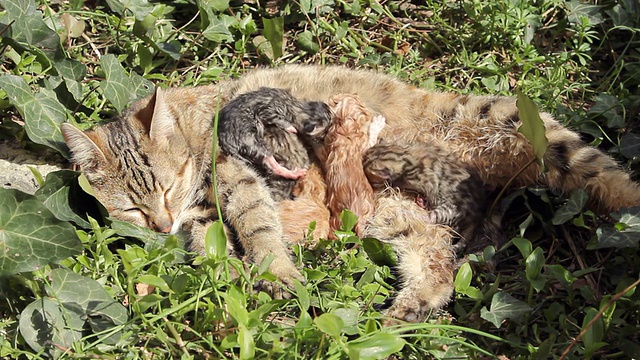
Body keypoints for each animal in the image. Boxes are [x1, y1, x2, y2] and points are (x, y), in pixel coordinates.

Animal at [60, 64, 640, 320]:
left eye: (166, 186)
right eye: (131, 208)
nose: (161, 225)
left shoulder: (235, 172)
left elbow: (256, 225)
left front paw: (277, 274)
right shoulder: (204, 214)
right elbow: (212, 245)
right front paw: (231, 272)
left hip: (525, 128)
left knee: (609, 177)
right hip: (398, 211)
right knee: (437, 260)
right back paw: (412, 306)